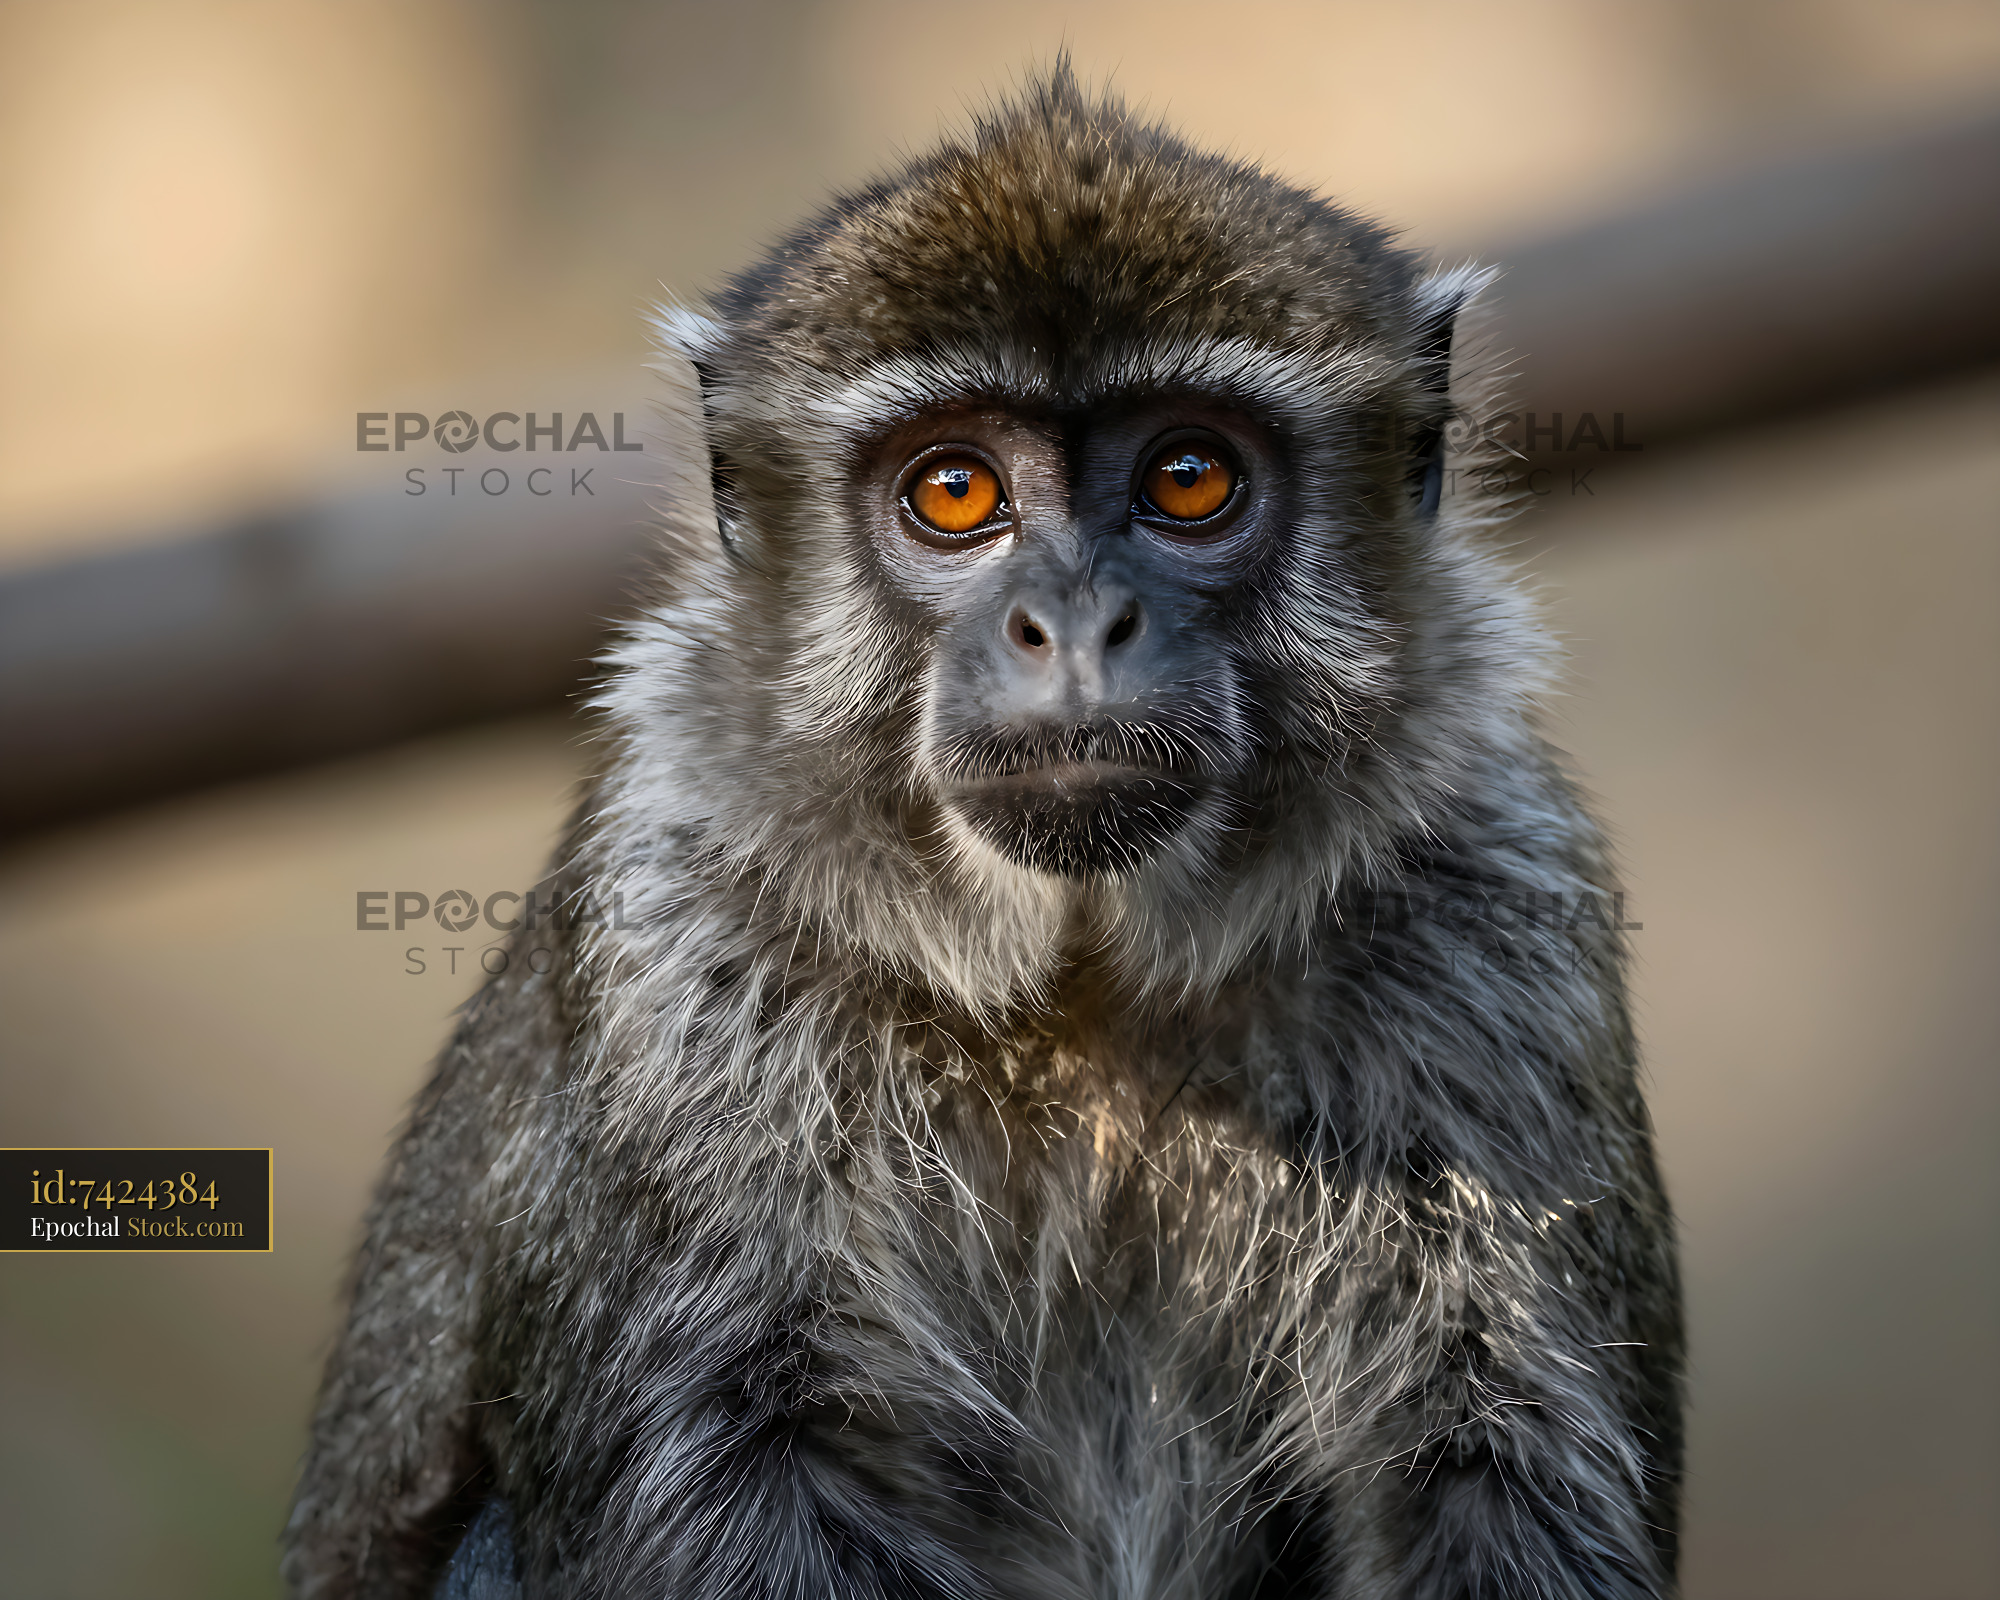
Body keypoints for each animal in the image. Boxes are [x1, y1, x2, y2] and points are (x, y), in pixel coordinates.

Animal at [284, 69, 1682, 1600]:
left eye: (1189, 477)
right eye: (955, 492)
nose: (1071, 623)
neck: (1080, 995)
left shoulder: (1499, 918)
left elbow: (1496, 1473)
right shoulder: (673, 953)